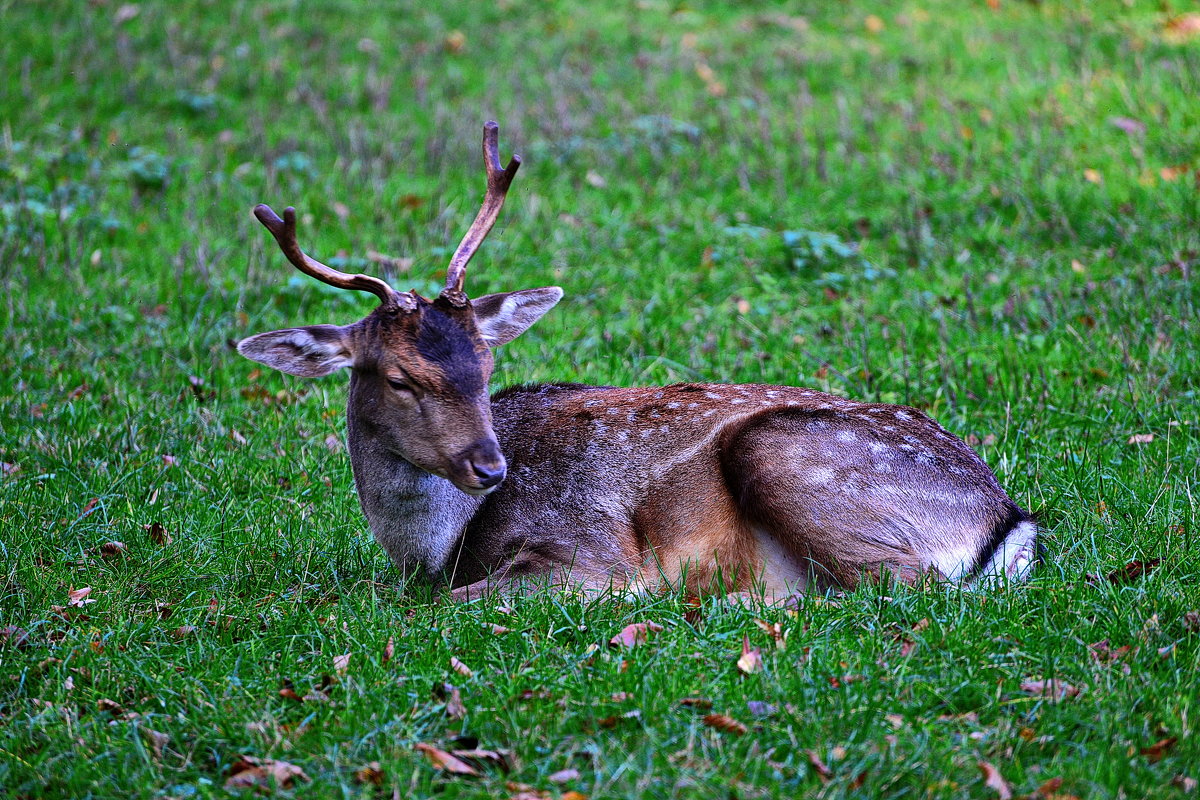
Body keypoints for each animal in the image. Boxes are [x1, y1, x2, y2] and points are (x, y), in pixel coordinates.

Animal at [236, 122, 1041, 599]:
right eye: (400, 377)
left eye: (487, 366)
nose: (491, 468)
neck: (435, 551)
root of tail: (1007, 519)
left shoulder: (586, 551)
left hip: (787, 455)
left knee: (905, 592)